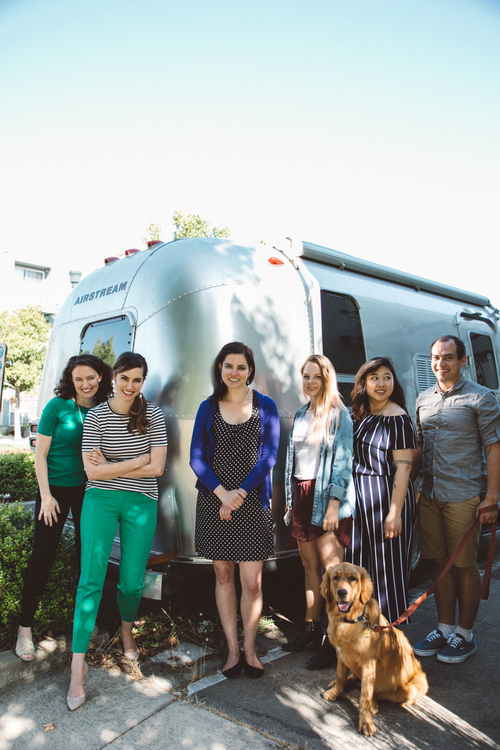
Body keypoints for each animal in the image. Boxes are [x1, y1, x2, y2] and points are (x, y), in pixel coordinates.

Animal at [322, 568, 428, 736]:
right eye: (335, 577)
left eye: (352, 578)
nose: (342, 592)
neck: (350, 621)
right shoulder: (341, 654)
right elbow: (340, 676)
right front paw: (335, 692)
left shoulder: (368, 663)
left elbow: (365, 695)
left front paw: (365, 721)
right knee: (353, 678)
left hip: (413, 688)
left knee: (378, 692)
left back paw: (373, 704)